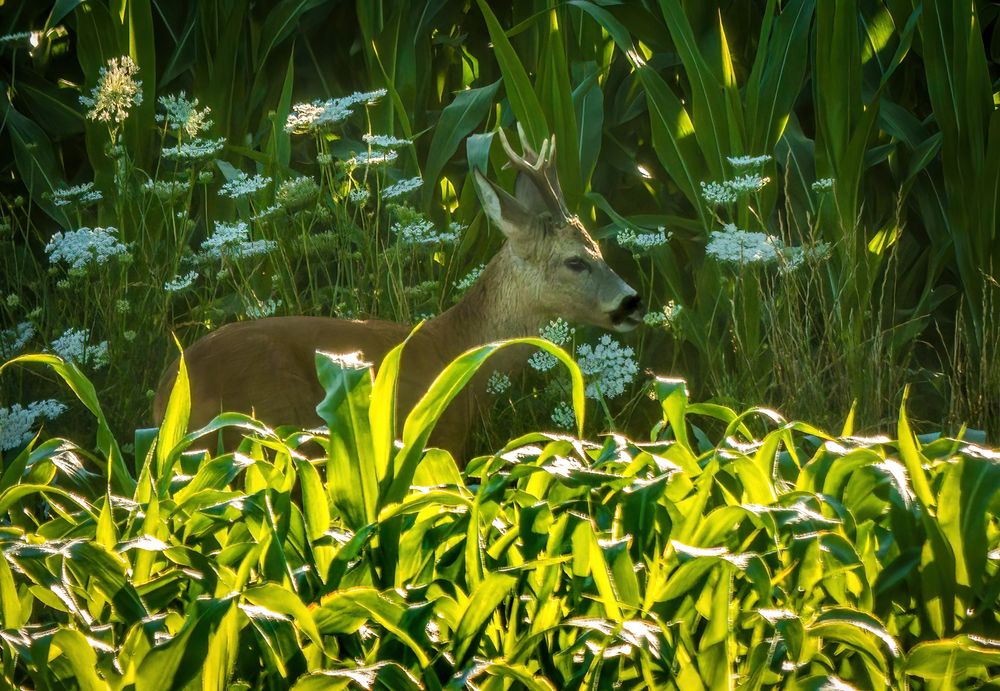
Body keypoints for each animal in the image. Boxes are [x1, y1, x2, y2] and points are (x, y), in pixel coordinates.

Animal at [152, 125, 644, 460]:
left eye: (599, 248)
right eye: (575, 261)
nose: (632, 302)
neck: (462, 351)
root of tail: (168, 398)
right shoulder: (438, 436)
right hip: (272, 429)